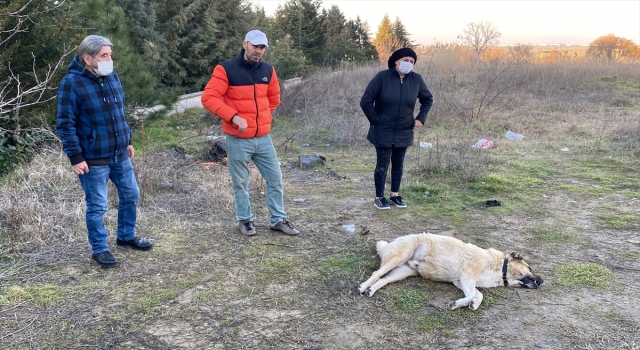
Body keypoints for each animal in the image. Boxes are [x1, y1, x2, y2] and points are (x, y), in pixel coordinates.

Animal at [358, 234, 544, 310]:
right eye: (530, 268)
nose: (542, 281)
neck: (499, 266)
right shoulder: (467, 276)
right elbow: (473, 294)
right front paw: (457, 304)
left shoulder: (461, 282)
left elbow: (478, 295)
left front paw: (472, 304)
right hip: (397, 258)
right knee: (376, 274)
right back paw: (363, 286)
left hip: (403, 271)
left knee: (383, 280)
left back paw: (371, 290)